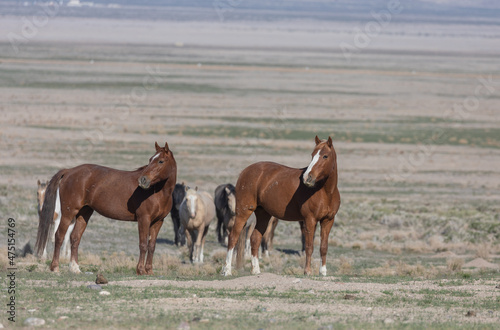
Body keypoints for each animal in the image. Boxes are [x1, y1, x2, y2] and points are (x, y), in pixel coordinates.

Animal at [35, 142, 177, 276]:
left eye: (160, 161)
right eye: (150, 159)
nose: (143, 180)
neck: (157, 192)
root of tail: (69, 171)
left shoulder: (158, 222)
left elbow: (151, 246)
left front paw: (149, 271)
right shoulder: (144, 220)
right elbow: (143, 245)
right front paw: (141, 270)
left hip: (84, 213)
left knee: (75, 238)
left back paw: (75, 268)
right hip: (68, 213)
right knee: (59, 235)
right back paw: (55, 267)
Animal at [223, 136, 340, 276]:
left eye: (325, 156)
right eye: (312, 155)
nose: (307, 177)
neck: (325, 192)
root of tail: (245, 171)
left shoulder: (328, 221)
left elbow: (323, 247)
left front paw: (323, 272)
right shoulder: (310, 220)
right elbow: (309, 246)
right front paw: (307, 271)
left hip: (263, 215)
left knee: (255, 239)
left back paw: (256, 270)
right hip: (243, 212)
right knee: (233, 237)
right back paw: (227, 270)